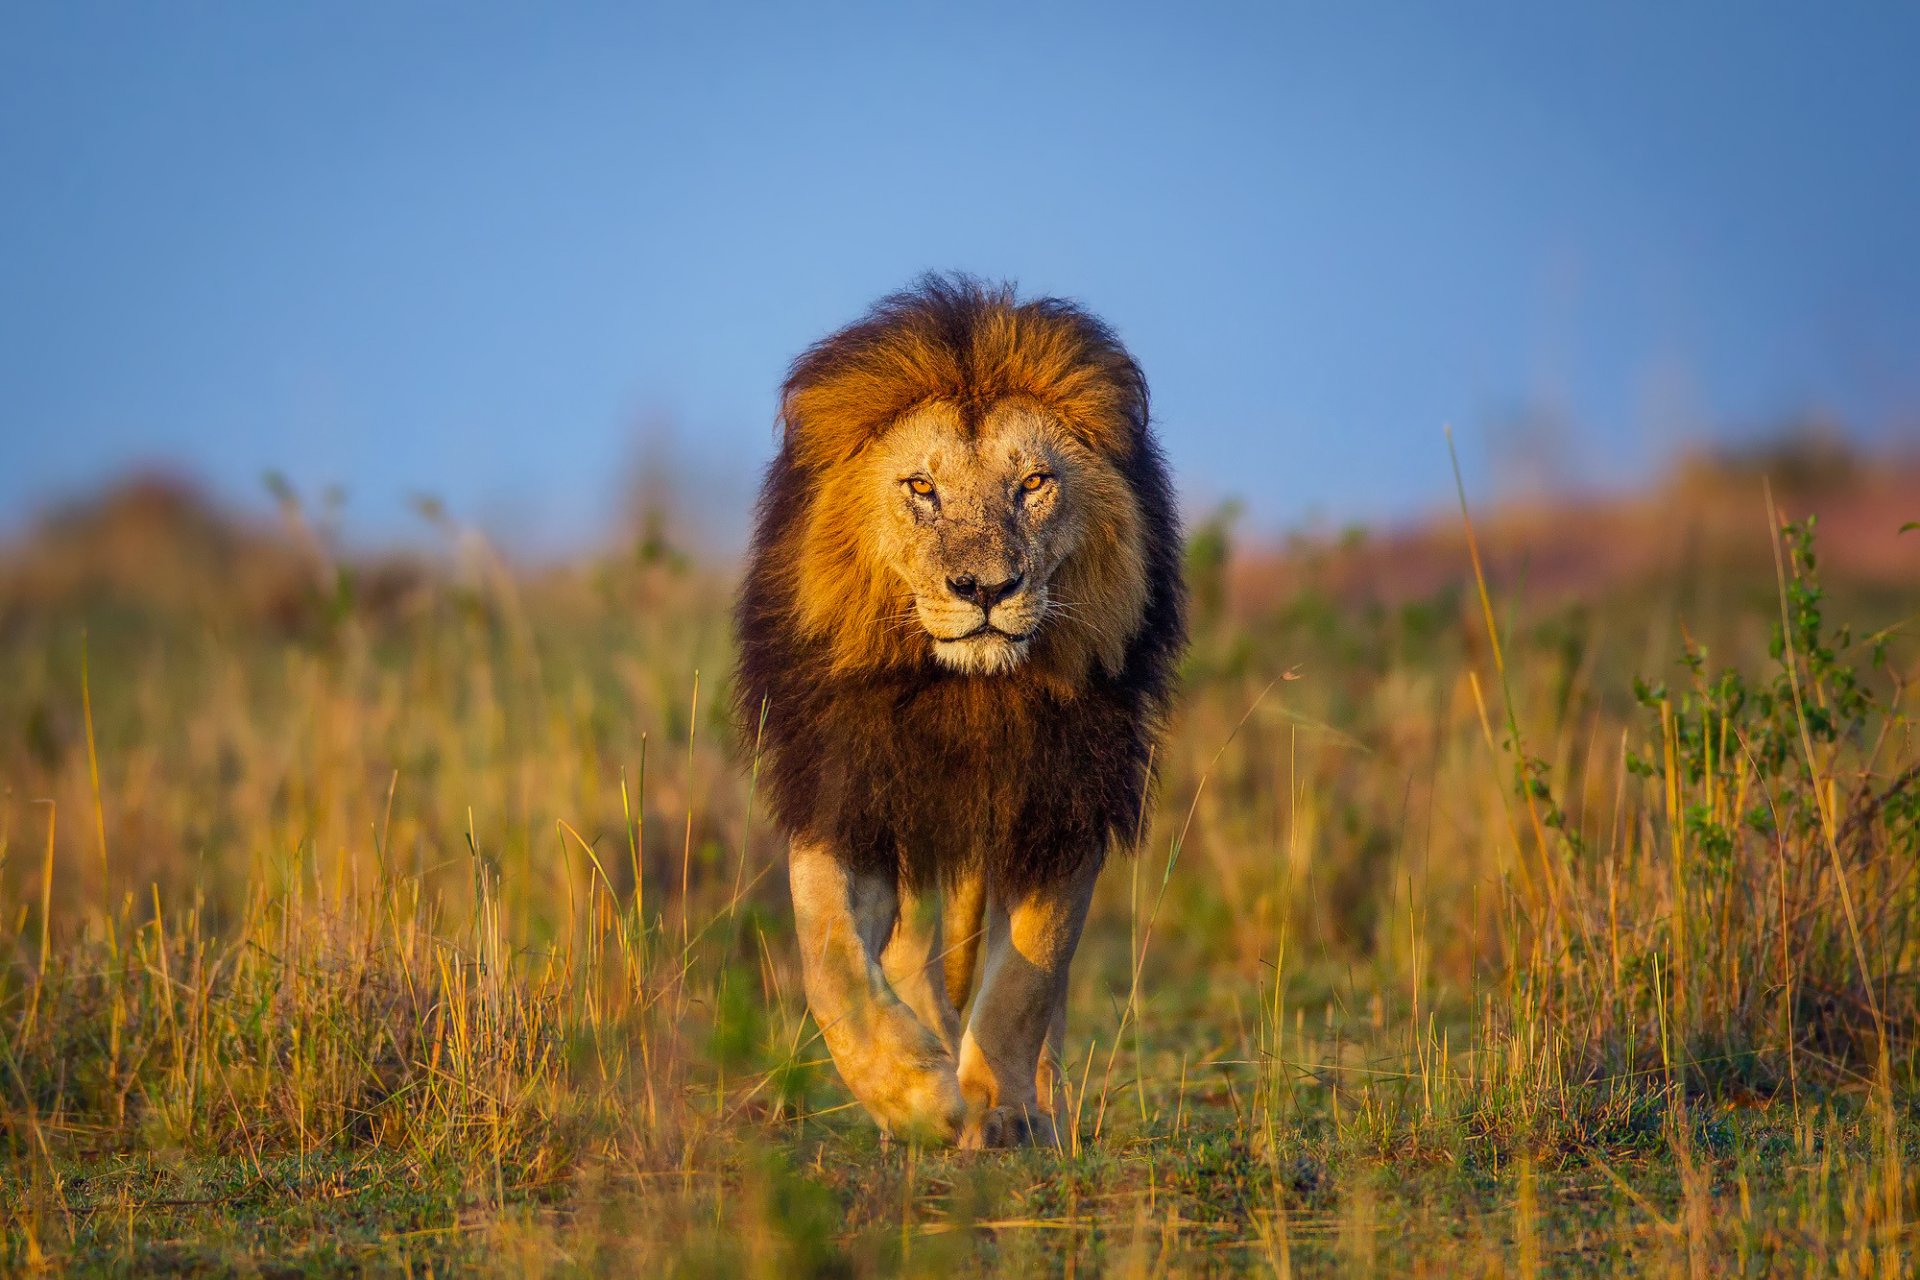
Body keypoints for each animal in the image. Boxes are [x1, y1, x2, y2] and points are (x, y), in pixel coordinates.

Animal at [734, 274, 1187, 1147]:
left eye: (1033, 483)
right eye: (921, 487)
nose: (985, 589)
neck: (967, 694)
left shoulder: (1061, 801)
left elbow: (1028, 978)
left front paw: (1000, 1108)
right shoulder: (849, 795)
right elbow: (831, 961)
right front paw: (917, 1097)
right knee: (909, 956)